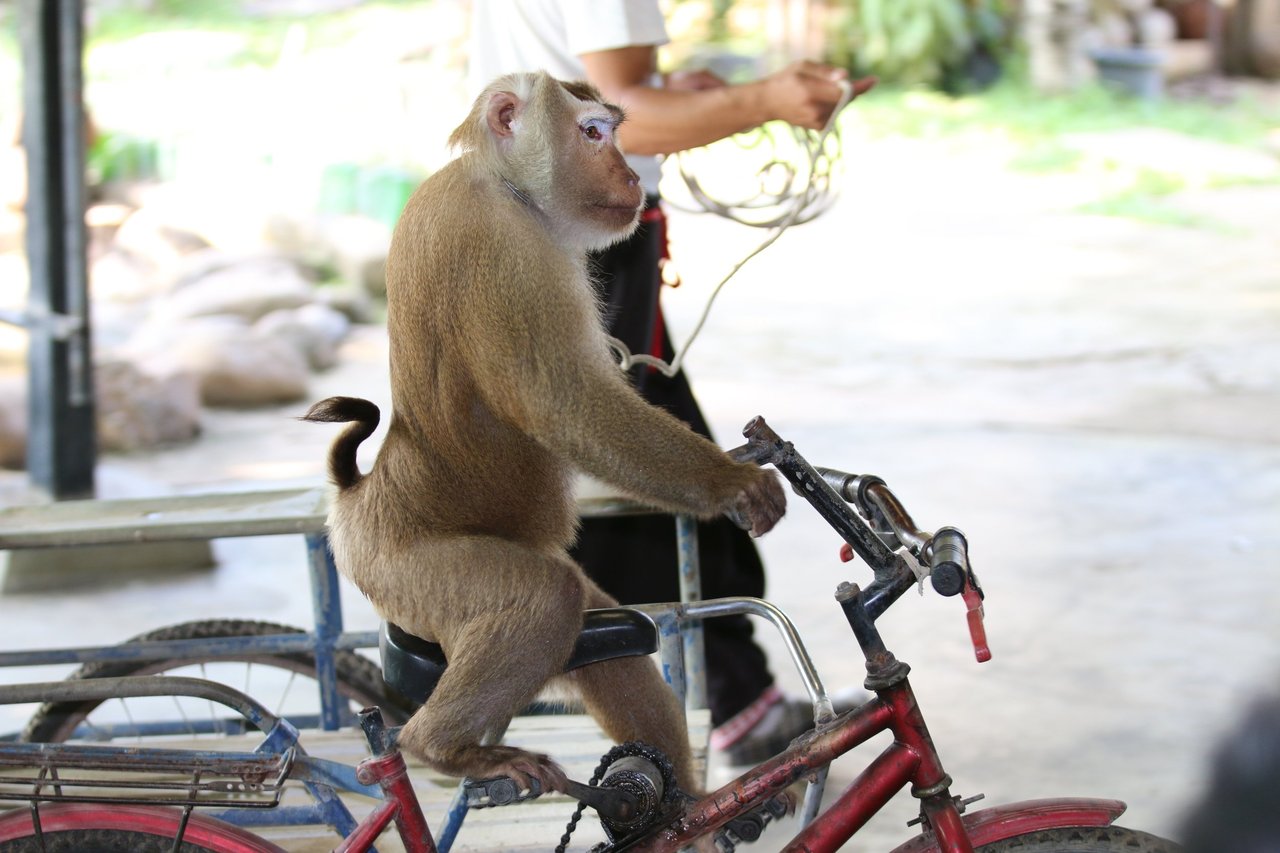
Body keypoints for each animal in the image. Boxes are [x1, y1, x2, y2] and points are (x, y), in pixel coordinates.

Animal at [304, 69, 783, 794]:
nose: (631, 174)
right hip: (405, 577)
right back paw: (440, 747)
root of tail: (355, 499)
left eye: (611, 132)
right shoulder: (507, 250)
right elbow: (566, 402)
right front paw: (730, 483)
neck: (497, 178)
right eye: (593, 133)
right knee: (547, 598)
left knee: (605, 642)